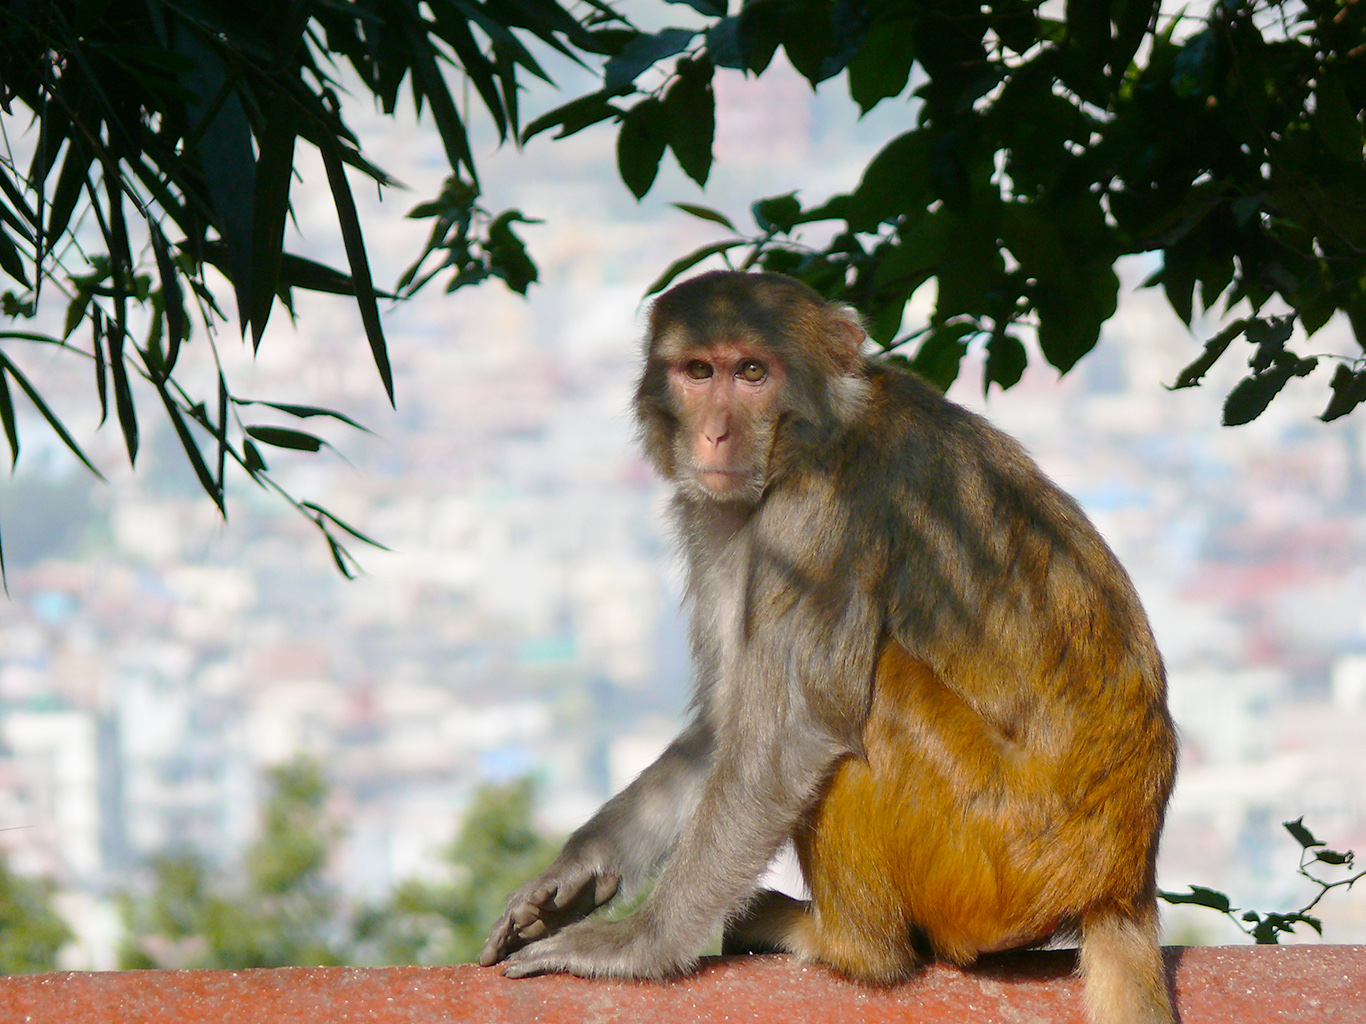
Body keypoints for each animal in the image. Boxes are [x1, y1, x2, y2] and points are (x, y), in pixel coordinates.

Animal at [478, 268, 1174, 1021]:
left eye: (753, 373)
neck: (816, 435)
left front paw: (638, 944)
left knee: (869, 696)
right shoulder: (718, 517)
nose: (715, 435)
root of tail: (1122, 880)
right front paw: (577, 871)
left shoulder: (816, 518)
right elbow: (728, 722)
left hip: (1002, 858)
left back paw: (850, 945)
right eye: (699, 371)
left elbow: (785, 733)